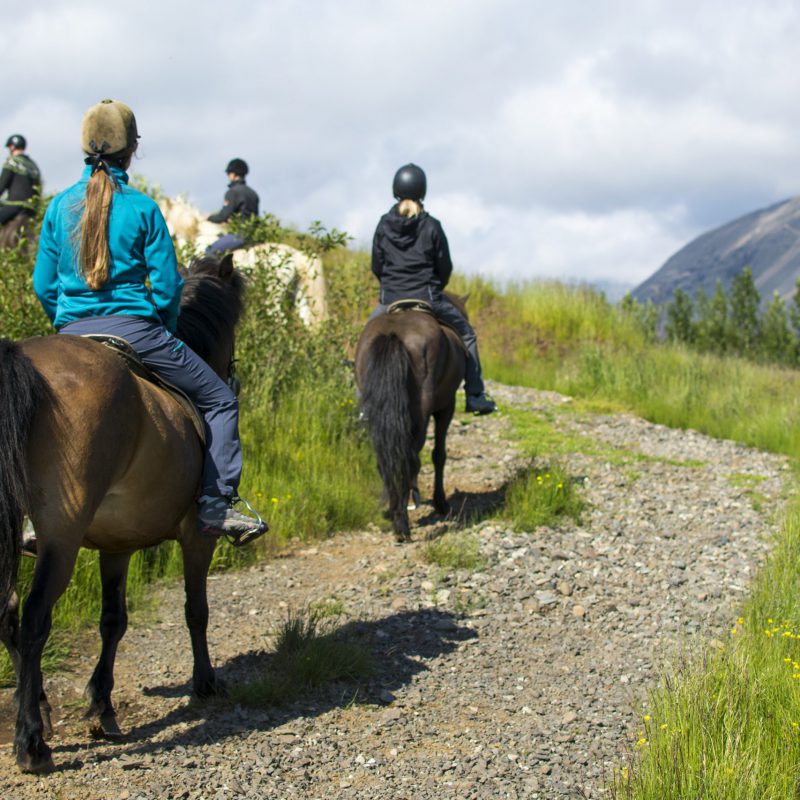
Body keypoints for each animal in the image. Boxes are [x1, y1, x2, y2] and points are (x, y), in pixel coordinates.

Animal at [0, 253, 244, 772]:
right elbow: (196, 610)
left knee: (6, 614)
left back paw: (40, 709)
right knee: (33, 617)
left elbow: (113, 620)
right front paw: (205, 680)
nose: (232, 374)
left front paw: (102, 706)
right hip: (61, 534)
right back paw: (32, 741)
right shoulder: (198, 537)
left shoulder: (117, 546)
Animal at [356, 296, 468, 540]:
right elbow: (439, 455)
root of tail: (393, 333)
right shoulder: (447, 406)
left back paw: (393, 511)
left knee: (386, 457)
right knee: (409, 458)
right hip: (422, 413)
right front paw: (440, 503)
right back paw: (402, 524)